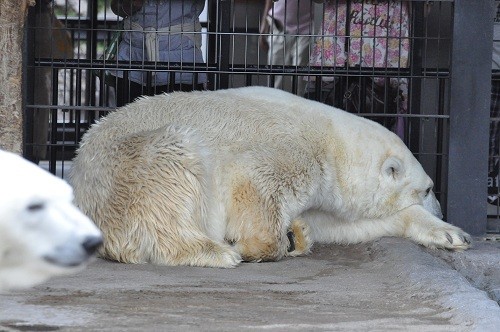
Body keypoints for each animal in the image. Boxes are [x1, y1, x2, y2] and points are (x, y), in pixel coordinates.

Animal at [68, 86, 470, 270]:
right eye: (429, 188)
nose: (441, 206)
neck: (333, 142)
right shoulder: (294, 152)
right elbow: (257, 182)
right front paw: (258, 245)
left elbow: (342, 225)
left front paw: (452, 234)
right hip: (133, 167)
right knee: (173, 172)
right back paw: (218, 251)